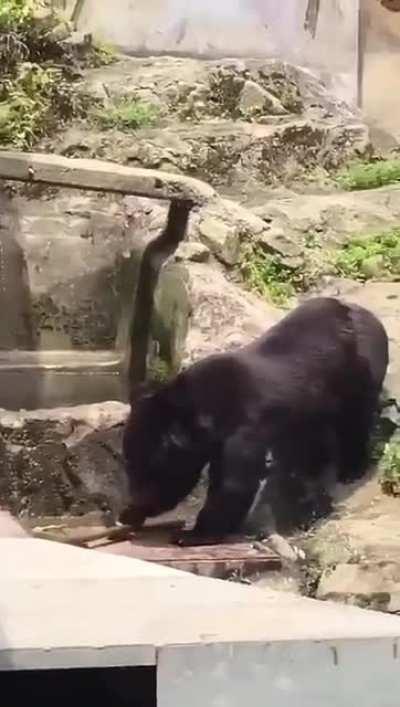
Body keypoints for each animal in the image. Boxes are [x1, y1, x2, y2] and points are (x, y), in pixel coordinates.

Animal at [119, 297, 389, 546]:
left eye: (147, 466)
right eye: (129, 463)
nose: (133, 499)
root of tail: (370, 316)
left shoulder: (244, 427)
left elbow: (232, 483)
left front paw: (190, 534)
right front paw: (131, 514)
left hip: (362, 372)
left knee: (354, 421)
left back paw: (351, 469)